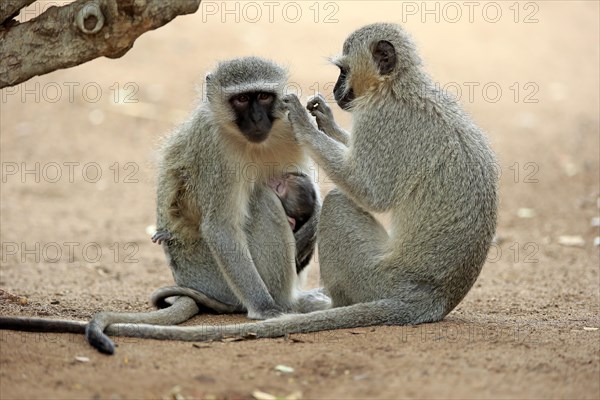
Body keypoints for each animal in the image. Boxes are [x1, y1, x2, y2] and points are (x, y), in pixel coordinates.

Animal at [1, 23, 496, 350]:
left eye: (262, 98)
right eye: (243, 101)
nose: (337, 92)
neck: (403, 84)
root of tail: (433, 299)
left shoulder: (381, 120)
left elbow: (367, 191)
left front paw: (307, 120)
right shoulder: (215, 147)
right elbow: (221, 224)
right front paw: (322, 119)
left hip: (374, 279)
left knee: (325, 201)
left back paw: (307, 302)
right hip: (213, 275)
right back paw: (287, 300)